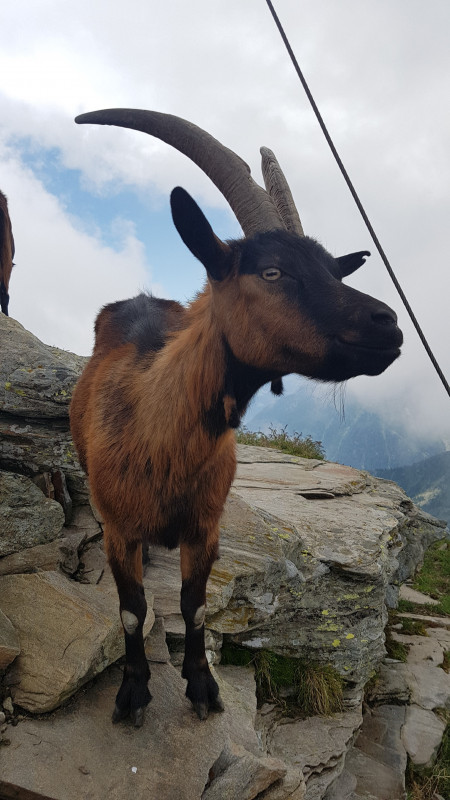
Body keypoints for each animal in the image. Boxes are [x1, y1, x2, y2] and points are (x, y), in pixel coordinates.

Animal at [70, 109, 403, 726]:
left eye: (334, 270)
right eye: (272, 272)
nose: (388, 324)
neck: (159, 436)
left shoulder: (206, 529)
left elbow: (196, 608)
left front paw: (202, 688)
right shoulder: (121, 531)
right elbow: (132, 612)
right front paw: (132, 694)